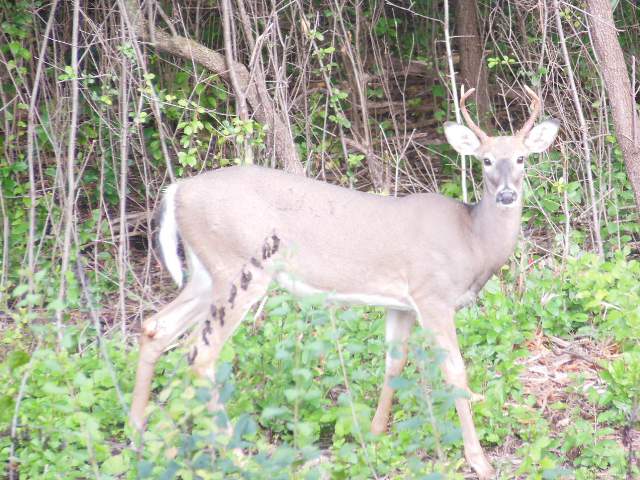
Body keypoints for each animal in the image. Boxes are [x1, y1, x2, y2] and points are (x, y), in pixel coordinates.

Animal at [131, 87, 560, 480]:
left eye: (521, 158)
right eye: (485, 160)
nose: (507, 194)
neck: (472, 242)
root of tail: (177, 190)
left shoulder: (401, 303)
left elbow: (394, 362)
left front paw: (373, 433)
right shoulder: (433, 295)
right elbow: (455, 372)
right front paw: (479, 461)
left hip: (207, 273)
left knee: (156, 327)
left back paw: (141, 432)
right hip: (239, 266)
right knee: (200, 354)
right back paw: (237, 456)